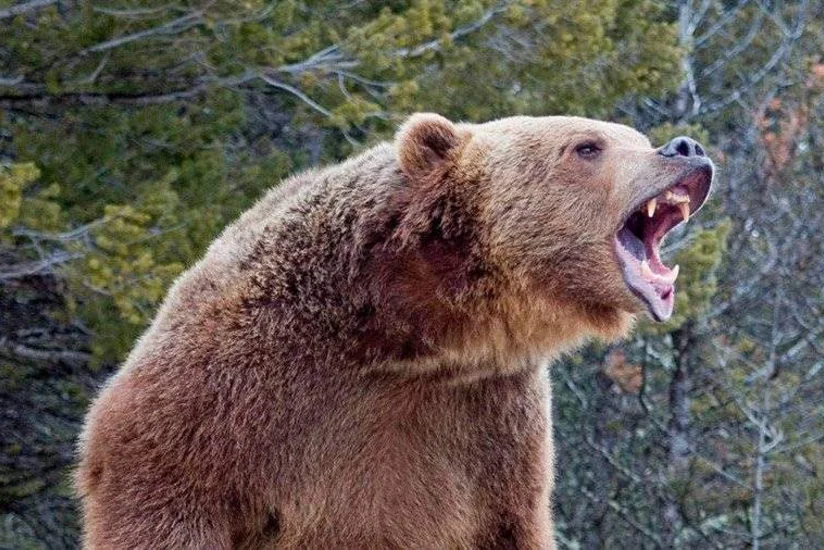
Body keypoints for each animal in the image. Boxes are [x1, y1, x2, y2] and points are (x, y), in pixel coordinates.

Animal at [75, 114, 713, 549]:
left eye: (633, 134)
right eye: (588, 145)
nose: (686, 147)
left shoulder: (486, 428)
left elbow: (504, 521)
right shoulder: (233, 388)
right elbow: (163, 491)